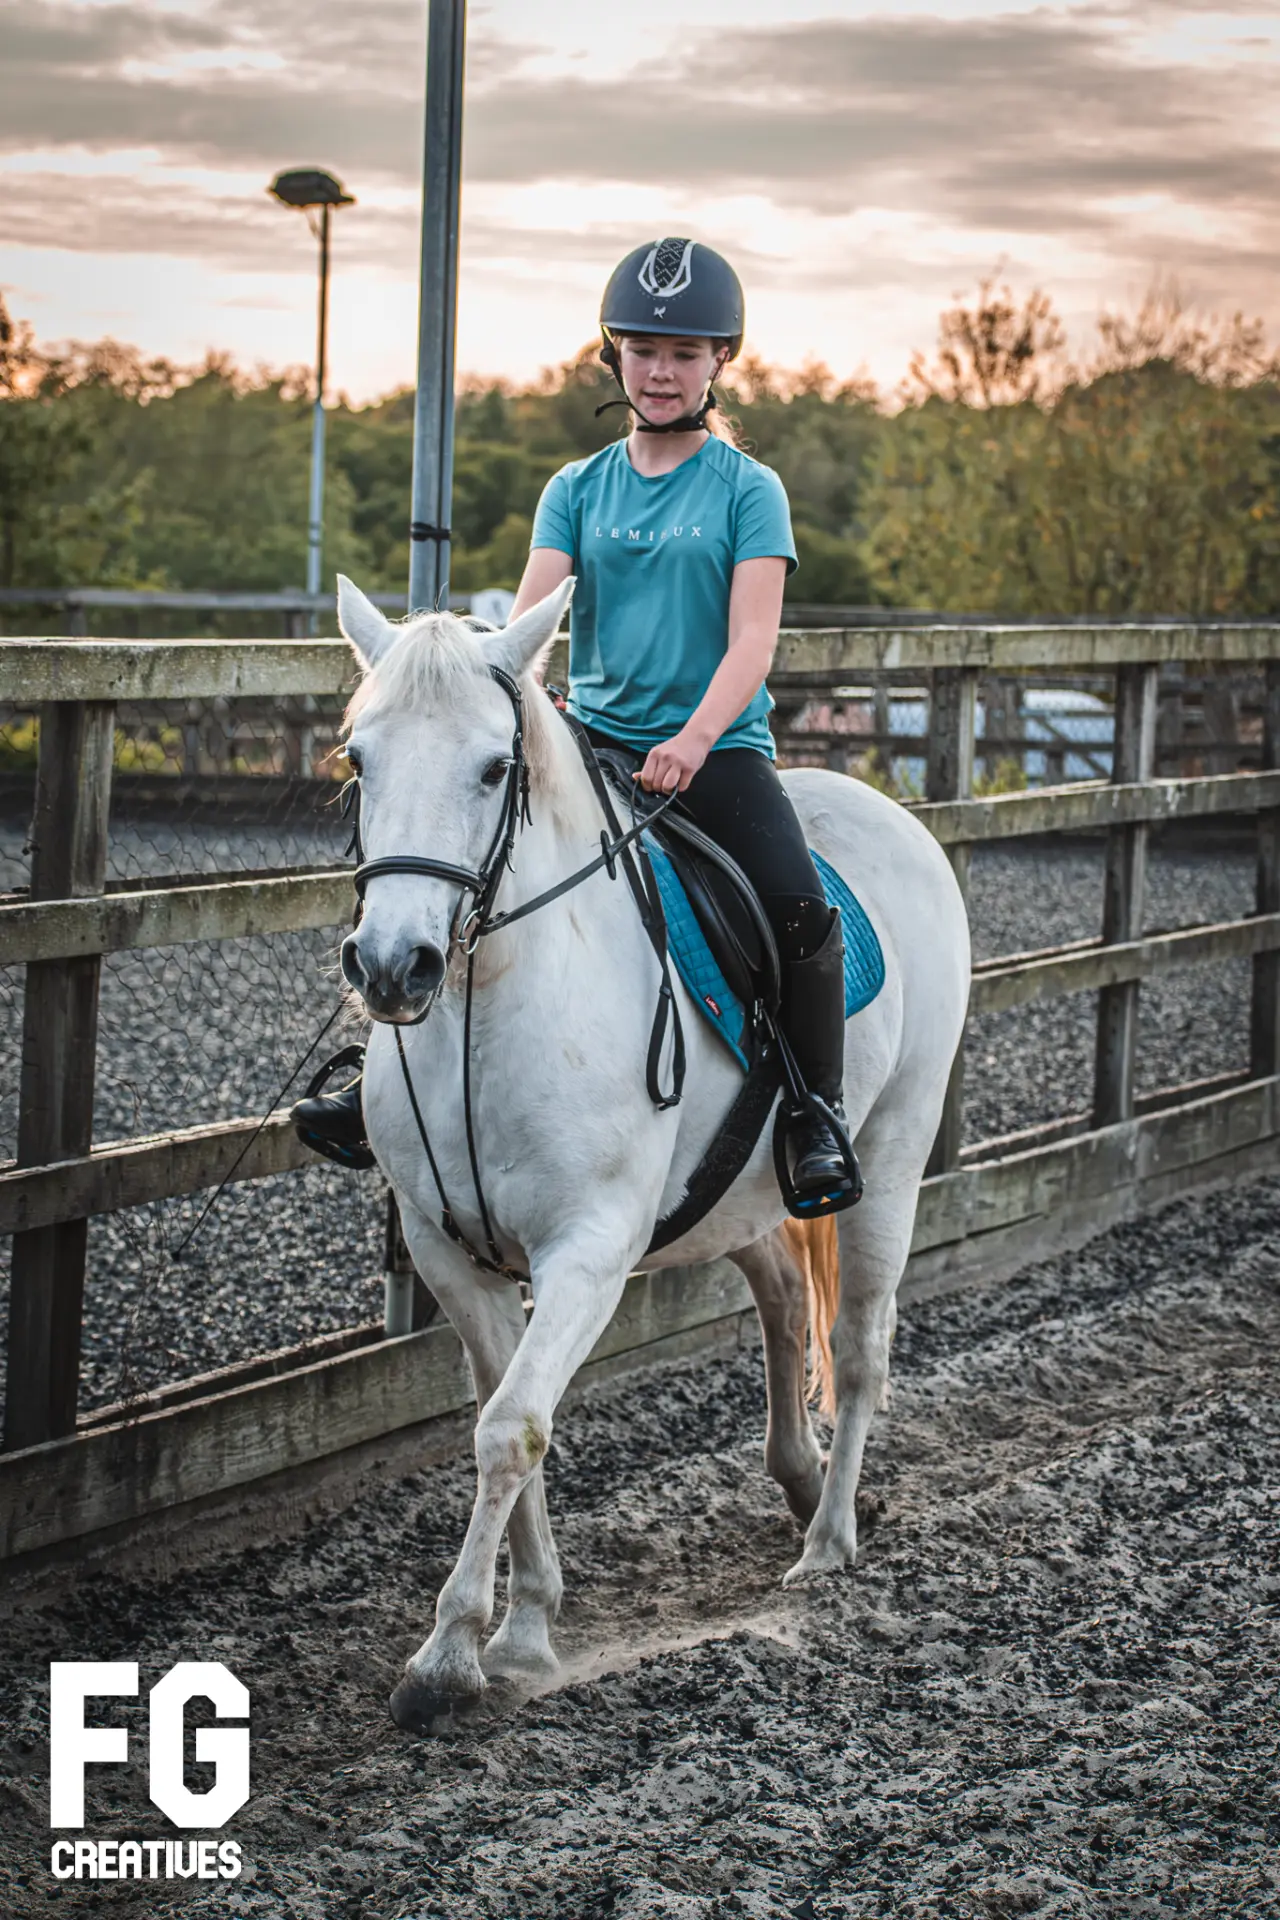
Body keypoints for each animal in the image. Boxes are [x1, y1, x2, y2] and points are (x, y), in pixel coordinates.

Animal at [334, 575, 970, 1734]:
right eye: (361, 758)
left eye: (492, 767)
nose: (394, 966)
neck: (488, 1016)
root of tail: (890, 815)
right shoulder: (451, 1256)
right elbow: (505, 1419)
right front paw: (526, 1628)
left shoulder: (586, 1253)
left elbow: (511, 1430)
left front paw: (448, 1656)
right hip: (735, 1193)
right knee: (779, 1298)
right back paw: (797, 1479)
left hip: (891, 1156)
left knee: (858, 1344)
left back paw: (828, 1542)